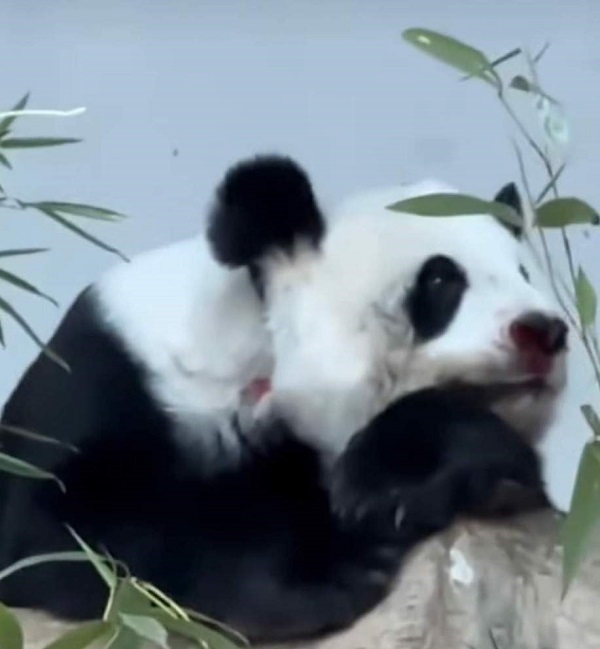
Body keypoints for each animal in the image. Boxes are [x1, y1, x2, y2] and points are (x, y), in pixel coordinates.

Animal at [0, 155, 568, 643]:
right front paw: (327, 574)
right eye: (441, 278)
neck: (260, 359)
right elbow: (66, 533)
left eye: (523, 273)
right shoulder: (101, 378)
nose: (543, 331)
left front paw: (391, 484)